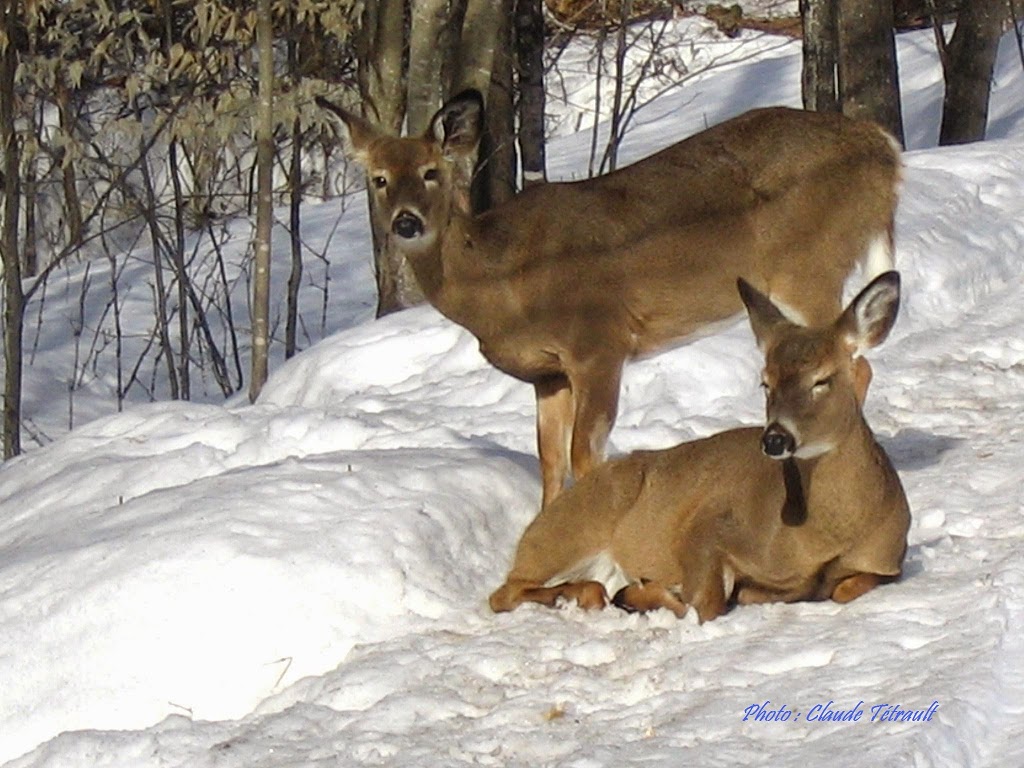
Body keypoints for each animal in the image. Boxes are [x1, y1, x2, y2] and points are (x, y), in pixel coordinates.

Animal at [315, 90, 901, 507]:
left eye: (431, 172)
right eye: (379, 179)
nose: (406, 222)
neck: (504, 281)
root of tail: (883, 150)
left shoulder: (598, 342)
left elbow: (585, 455)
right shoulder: (547, 374)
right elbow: (551, 462)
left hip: (808, 265)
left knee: (854, 358)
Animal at [489, 272, 913, 626]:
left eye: (822, 379)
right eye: (765, 382)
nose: (775, 438)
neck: (828, 535)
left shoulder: (888, 561)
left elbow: (847, 586)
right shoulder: (709, 524)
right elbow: (704, 604)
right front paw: (653, 592)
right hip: (571, 530)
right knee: (505, 592)